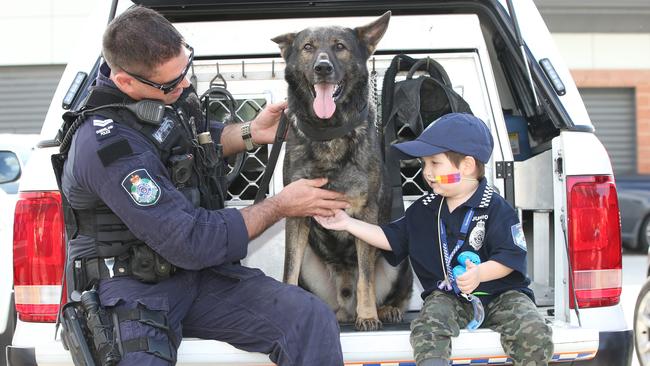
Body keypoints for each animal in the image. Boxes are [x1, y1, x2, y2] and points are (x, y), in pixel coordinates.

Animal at [270, 12, 412, 332]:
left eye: (339, 46)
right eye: (308, 47)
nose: (323, 68)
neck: (328, 133)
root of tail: (343, 307)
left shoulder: (366, 214)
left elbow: (366, 278)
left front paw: (368, 315)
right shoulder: (296, 214)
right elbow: (288, 271)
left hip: (398, 258)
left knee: (395, 292)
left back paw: (385, 310)